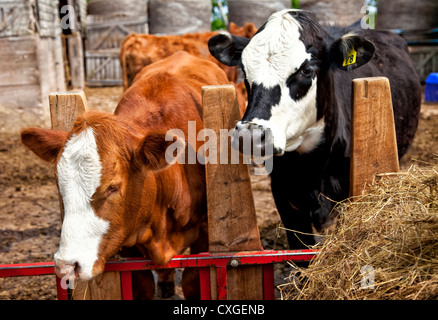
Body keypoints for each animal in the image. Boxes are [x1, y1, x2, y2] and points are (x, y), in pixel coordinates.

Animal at [21, 51, 229, 298]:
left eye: (113, 186)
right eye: (59, 185)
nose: (67, 265)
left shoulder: (205, 233)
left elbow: (192, 281)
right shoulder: (126, 237)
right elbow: (142, 285)